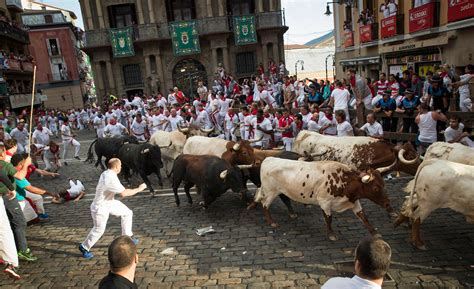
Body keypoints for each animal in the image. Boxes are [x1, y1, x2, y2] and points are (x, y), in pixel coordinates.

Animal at [254, 156, 394, 240]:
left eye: (383, 184)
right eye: (375, 188)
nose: (388, 204)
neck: (344, 180)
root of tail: (268, 158)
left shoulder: (354, 201)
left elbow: (363, 217)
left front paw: (374, 232)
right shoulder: (324, 202)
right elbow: (329, 218)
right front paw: (331, 234)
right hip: (270, 192)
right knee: (264, 204)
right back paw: (271, 221)